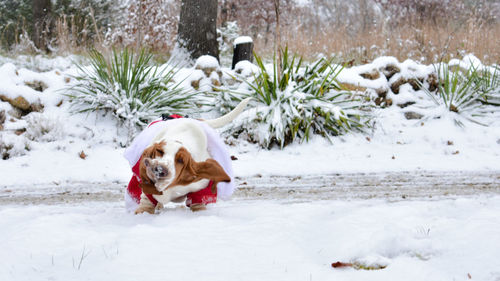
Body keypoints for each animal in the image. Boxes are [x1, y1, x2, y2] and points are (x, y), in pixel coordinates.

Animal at [123, 97, 252, 213]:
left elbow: (198, 201)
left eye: (181, 161)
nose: (159, 169)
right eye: (159, 151)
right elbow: (147, 200)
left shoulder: (202, 186)